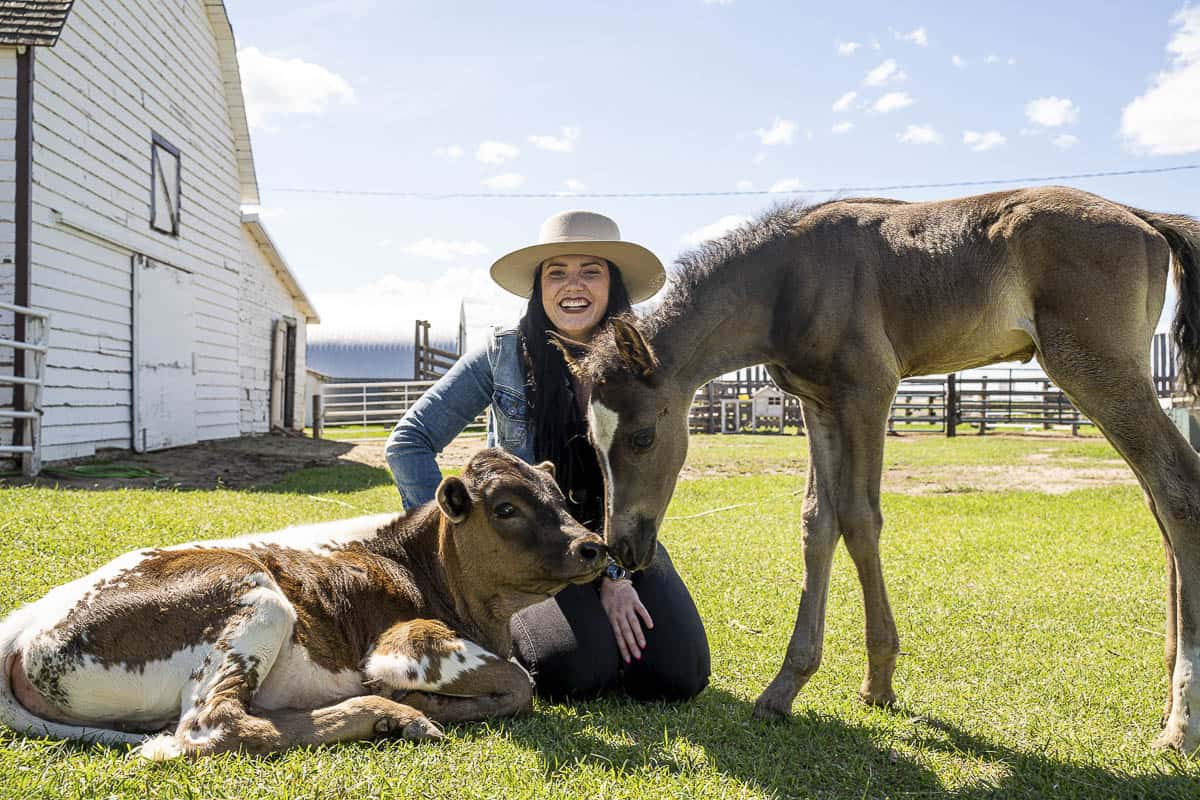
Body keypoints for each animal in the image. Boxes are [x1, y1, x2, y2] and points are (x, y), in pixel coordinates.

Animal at [0, 450, 604, 758]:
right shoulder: (404, 645)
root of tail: (27, 622)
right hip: (257, 599)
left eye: (562, 498)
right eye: (505, 508)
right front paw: (419, 700)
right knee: (214, 728)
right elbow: (520, 683)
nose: (592, 545)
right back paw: (392, 714)